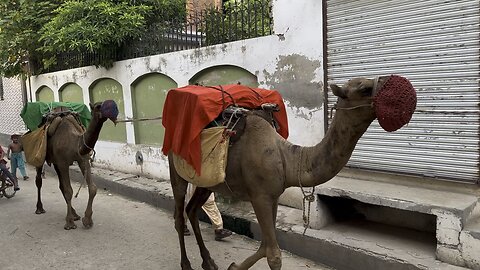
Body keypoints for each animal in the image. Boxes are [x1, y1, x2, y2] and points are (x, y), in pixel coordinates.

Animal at [34, 101, 117, 230]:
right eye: (98, 106)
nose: (113, 113)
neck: (75, 142)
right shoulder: (63, 162)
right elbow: (69, 191)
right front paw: (69, 223)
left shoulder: (82, 159)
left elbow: (92, 188)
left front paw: (87, 220)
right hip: (41, 154)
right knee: (39, 180)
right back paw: (39, 208)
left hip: (57, 163)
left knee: (61, 185)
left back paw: (75, 214)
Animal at [169, 76, 398, 270]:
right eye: (365, 89)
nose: (393, 84)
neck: (287, 159)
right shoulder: (259, 196)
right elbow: (273, 255)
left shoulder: (274, 195)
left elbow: (264, 246)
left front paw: (233, 266)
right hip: (177, 171)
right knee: (179, 215)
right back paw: (186, 264)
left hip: (206, 182)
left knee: (192, 210)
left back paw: (208, 262)